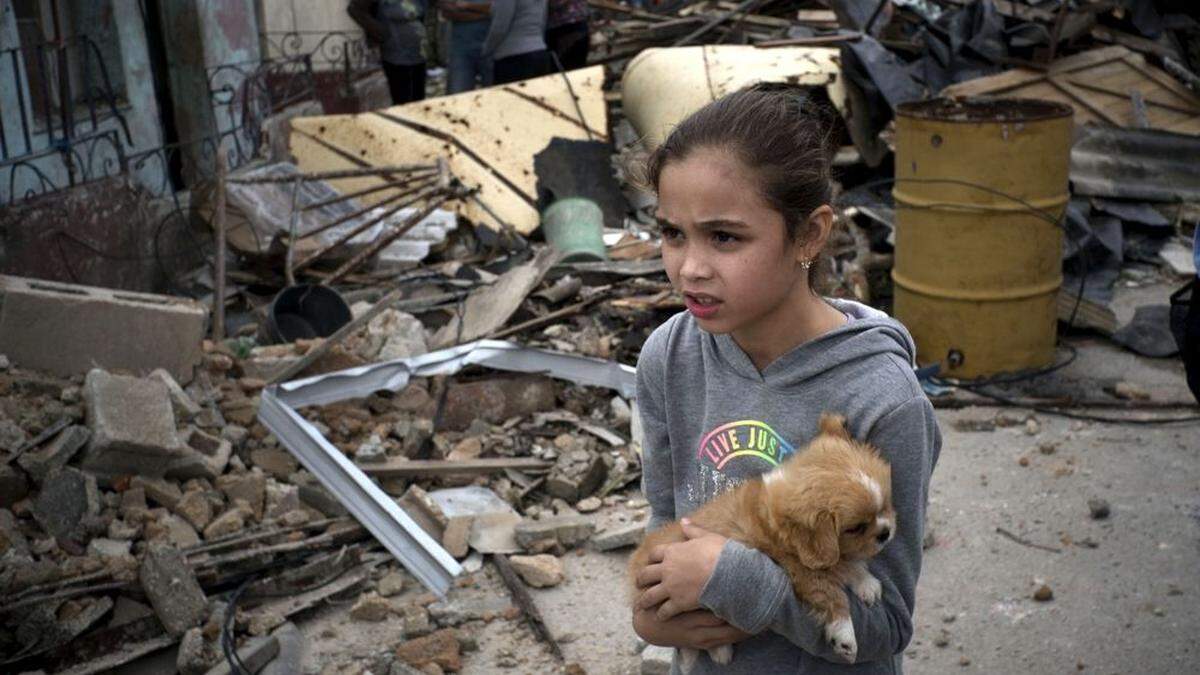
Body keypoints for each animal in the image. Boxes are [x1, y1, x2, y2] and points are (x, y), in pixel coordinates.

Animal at [628, 410, 892, 667]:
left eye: (885, 507)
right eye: (857, 528)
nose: (886, 533)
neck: (773, 517)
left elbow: (848, 564)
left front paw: (866, 582)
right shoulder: (803, 573)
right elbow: (833, 594)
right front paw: (845, 636)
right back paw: (719, 651)